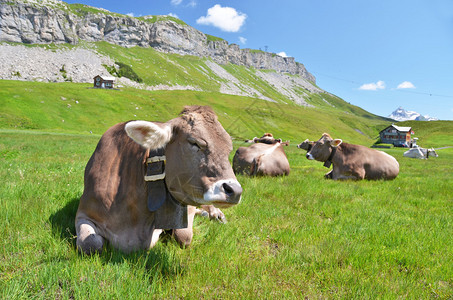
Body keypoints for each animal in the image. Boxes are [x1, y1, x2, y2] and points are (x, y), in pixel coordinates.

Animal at [76, 105, 242, 253]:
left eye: (229, 149)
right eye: (194, 142)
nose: (235, 191)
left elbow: (184, 236)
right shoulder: (84, 214)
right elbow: (90, 244)